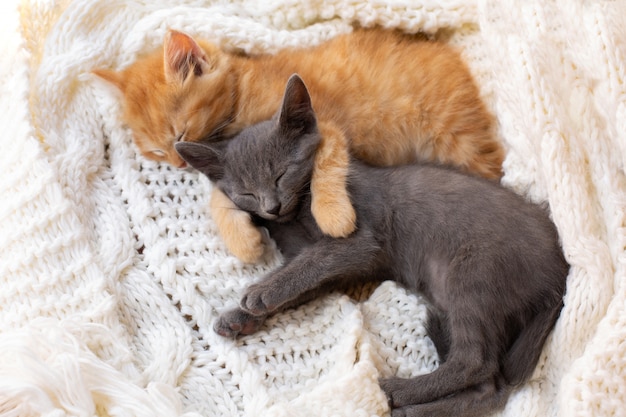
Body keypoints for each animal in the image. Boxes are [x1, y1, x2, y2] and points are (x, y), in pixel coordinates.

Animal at [92, 27, 502, 264]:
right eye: (155, 152)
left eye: (179, 135)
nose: (178, 165)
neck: (243, 93)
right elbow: (221, 194)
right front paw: (243, 240)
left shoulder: (327, 128)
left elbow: (326, 165)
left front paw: (334, 216)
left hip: (459, 140)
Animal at [174, 73, 564, 414]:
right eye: (247, 193)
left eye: (281, 174)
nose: (271, 207)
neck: (297, 213)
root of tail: (557, 274)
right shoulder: (338, 270)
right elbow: (302, 280)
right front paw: (240, 318)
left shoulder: (358, 240)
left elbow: (311, 262)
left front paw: (258, 294)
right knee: (489, 387)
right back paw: (415, 409)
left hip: (472, 275)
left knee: (476, 362)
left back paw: (397, 391)